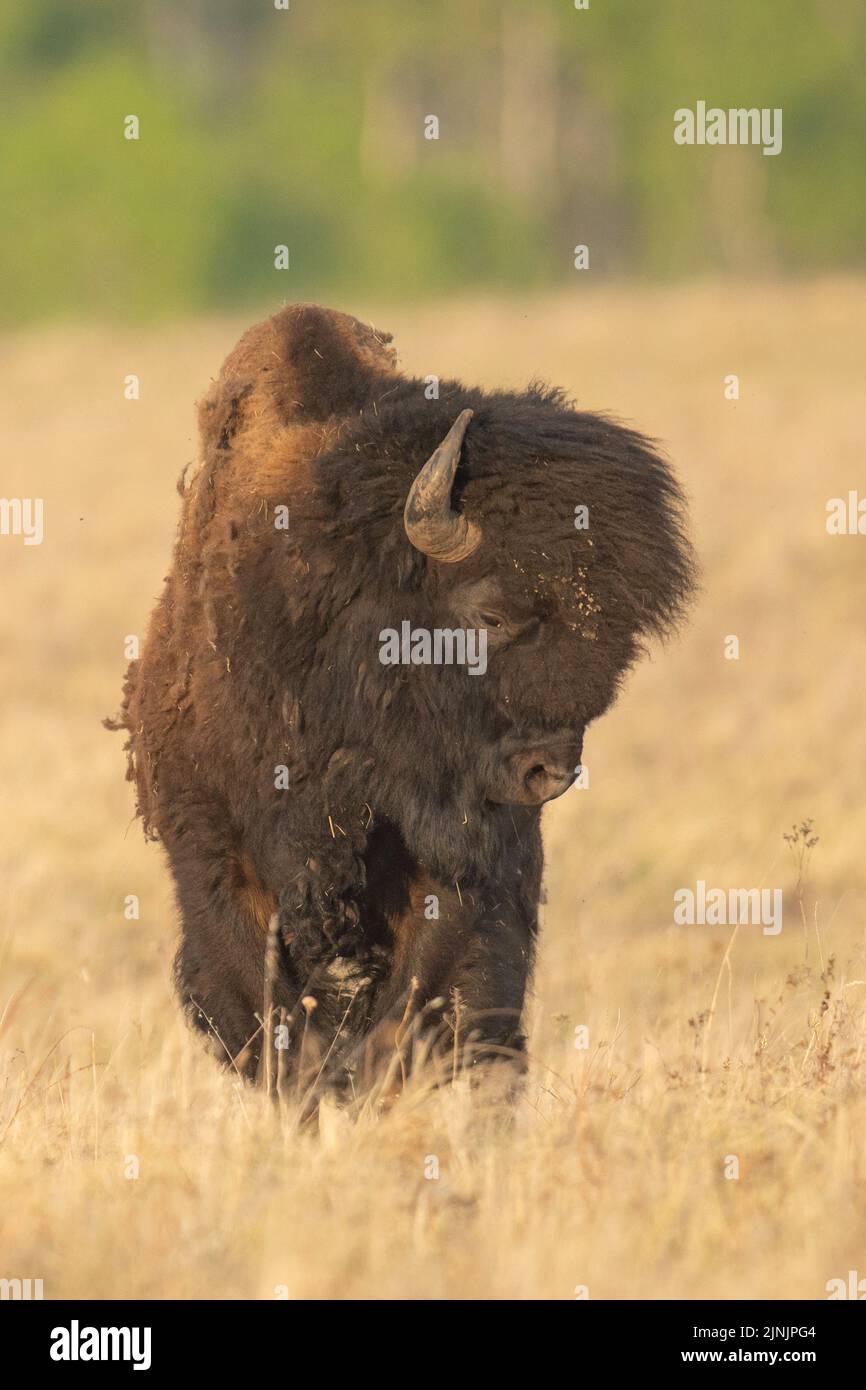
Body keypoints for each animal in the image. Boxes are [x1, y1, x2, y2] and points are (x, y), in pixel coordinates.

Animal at [108, 304, 695, 1095]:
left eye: (617, 635)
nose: (548, 771)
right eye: (491, 615)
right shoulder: (216, 859)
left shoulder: (461, 876)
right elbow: (272, 1019)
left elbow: (412, 1007)